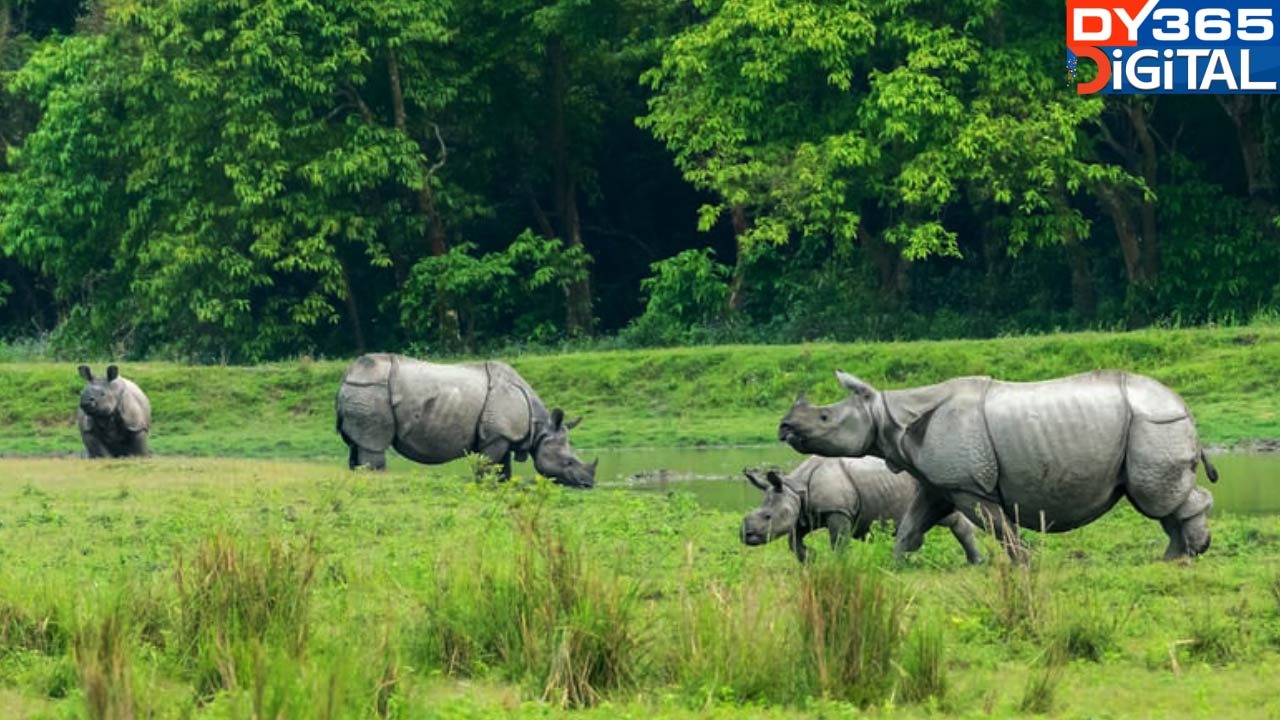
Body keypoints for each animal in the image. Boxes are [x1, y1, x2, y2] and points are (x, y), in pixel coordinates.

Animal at [332, 353, 596, 486]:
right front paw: (483, 485)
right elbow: (488, 465)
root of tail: (346, 376)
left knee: (357, 445)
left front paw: (502, 484)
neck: (539, 427)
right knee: (373, 446)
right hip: (371, 390)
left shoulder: (502, 435)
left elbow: (503, 467)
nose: (588, 484)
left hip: (363, 391)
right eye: (569, 462)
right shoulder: (496, 436)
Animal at [737, 456, 983, 563]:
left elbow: (838, 541)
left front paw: (840, 564)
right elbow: (793, 540)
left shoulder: (837, 510)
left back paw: (975, 563)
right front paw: (810, 558)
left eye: (767, 516)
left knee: (950, 518)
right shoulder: (806, 513)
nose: (746, 536)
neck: (795, 488)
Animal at [778, 368, 1218, 561]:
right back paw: (1174, 557)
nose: (784, 427)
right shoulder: (941, 483)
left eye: (824, 418)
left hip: (1154, 423)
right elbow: (910, 527)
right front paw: (896, 565)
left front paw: (1025, 562)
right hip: (1151, 424)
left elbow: (998, 526)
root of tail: (1184, 405)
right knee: (1158, 500)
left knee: (1155, 496)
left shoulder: (969, 484)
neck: (889, 416)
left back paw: (1187, 554)